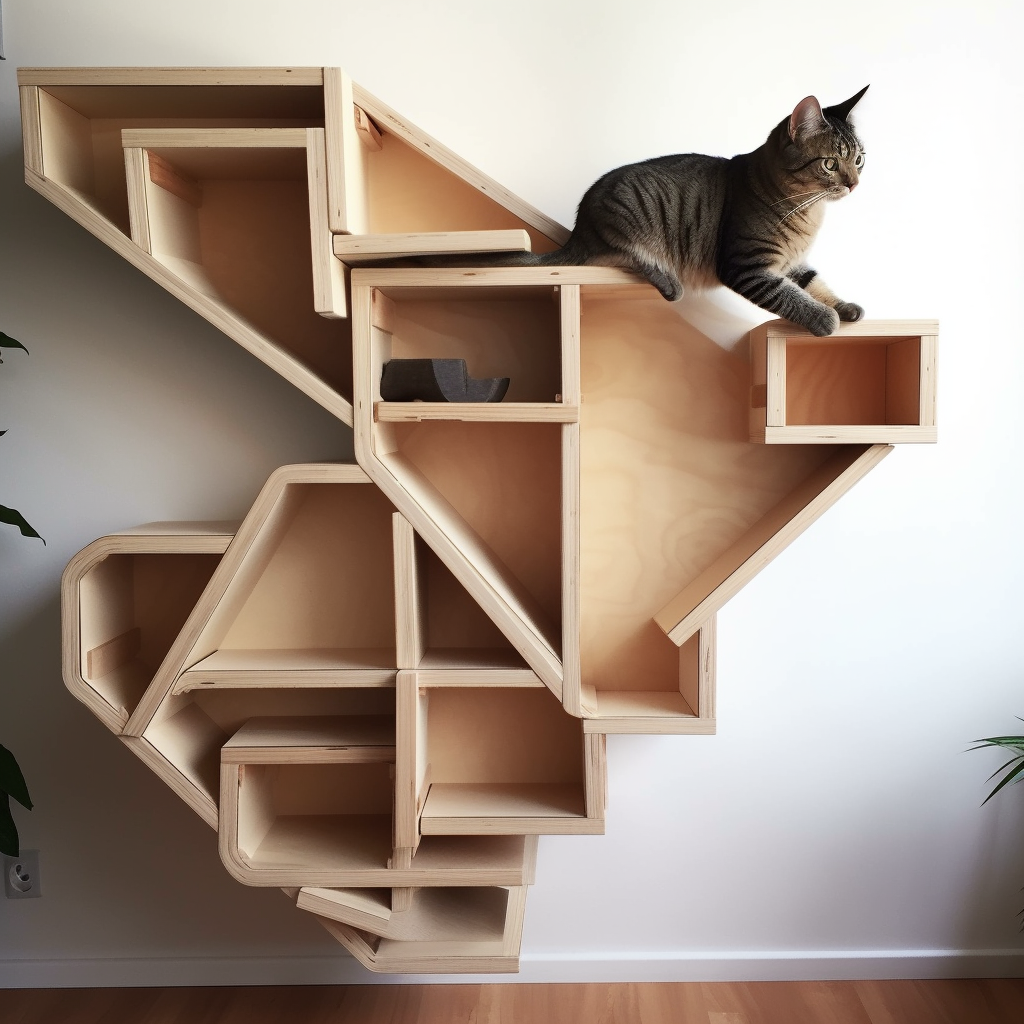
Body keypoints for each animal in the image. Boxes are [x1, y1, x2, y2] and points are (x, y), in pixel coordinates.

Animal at [468, 84, 868, 335]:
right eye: (831, 164)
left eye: (860, 159)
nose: (854, 184)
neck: (808, 213)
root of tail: (579, 231)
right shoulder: (747, 267)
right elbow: (791, 297)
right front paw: (825, 319)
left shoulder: (792, 262)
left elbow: (814, 283)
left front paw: (846, 306)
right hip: (628, 216)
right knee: (625, 254)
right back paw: (668, 280)